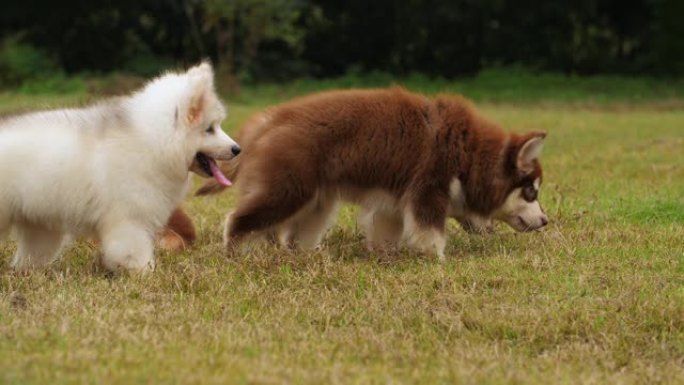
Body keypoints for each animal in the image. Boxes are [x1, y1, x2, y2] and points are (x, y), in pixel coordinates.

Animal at [0, 63, 239, 272]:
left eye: (217, 126)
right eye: (210, 129)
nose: (237, 149)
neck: (153, 142)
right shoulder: (129, 222)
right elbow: (134, 253)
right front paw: (144, 274)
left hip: (41, 223)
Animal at [196, 88, 544, 258]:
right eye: (531, 192)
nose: (546, 221)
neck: (470, 152)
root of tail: (268, 120)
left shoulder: (394, 200)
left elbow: (387, 229)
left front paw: (385, 254)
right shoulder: (428, 188)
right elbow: (431, 230)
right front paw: (437, 258)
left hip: (317, 200)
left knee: (293, 235)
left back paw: (305, 255)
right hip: (288, 189)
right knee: (239, 219)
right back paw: (236, 252)